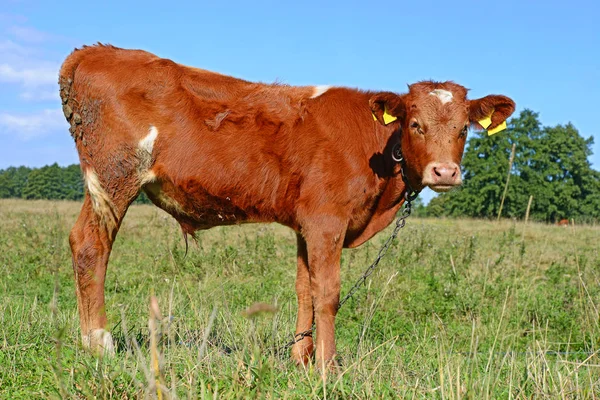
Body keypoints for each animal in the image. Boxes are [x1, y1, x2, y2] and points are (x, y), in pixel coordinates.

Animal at [58, 44, 512, 368]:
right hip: (114, 178)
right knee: (91, 246)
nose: (445, 172)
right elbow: (327, 292)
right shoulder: (327, 219)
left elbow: (303, 288)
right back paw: (98, 342)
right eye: (415, 124)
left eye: (463, 129)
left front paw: (301, 359)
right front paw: (328, 367)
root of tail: (97, 50)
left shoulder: (305, 223)